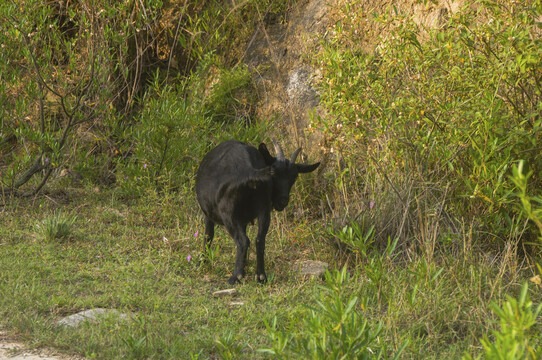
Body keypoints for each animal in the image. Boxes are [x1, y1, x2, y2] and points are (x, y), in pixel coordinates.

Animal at [198, 140, 320, 284]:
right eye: (274, 173)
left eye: (294, 177)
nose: (283, 200)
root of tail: (250, 171)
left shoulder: (209, 213)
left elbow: (208, 235)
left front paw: (202, 262)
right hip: (264, 209)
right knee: (260, 240)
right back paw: (261, 276)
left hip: (228, 213)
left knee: (242, 241)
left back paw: (235, 276)